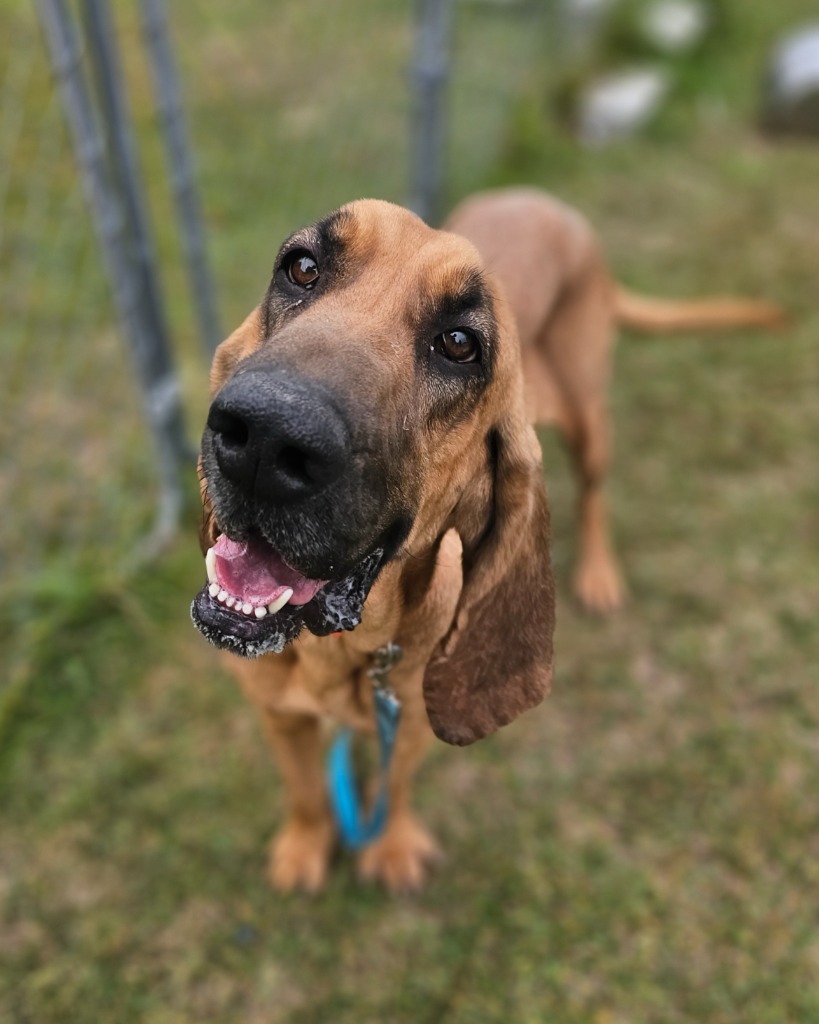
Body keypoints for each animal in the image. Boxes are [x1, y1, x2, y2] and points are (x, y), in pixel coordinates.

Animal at [193, 188, 782, 892]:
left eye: (459, 344)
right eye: (301, 267)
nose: (263, 436)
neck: (342, 653)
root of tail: (544, 200)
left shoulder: (412, 721)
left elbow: (395, 786)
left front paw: (390, 846)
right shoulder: (278, 716)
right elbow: (307, 791)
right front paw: (306, 847)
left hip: (589, 417)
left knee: (595, 493)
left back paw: (599, 574)